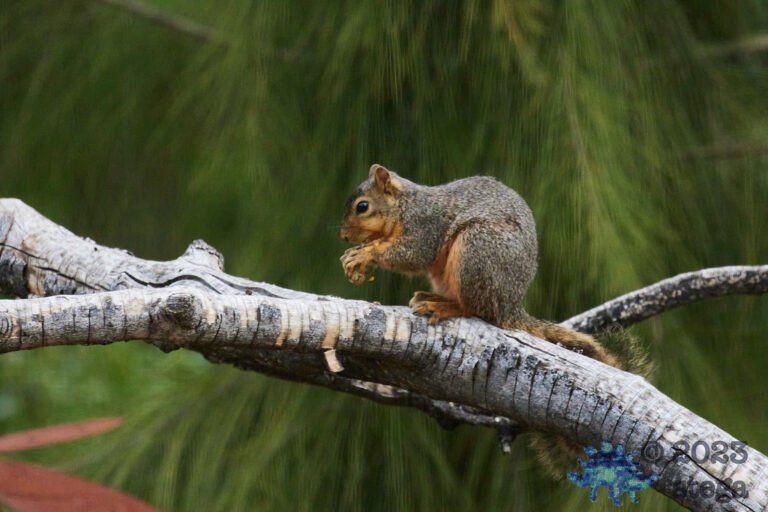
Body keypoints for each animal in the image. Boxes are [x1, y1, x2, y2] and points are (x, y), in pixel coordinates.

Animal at [339, 164, 646, 476]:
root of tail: (510, 307)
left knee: (477, 309)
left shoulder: (425, 227)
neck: (404, 206)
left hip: (477, 250)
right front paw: (355, 256)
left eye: (362, 206)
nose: (344, 237)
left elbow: (412, 255)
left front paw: (364, 254)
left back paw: (444, 306)